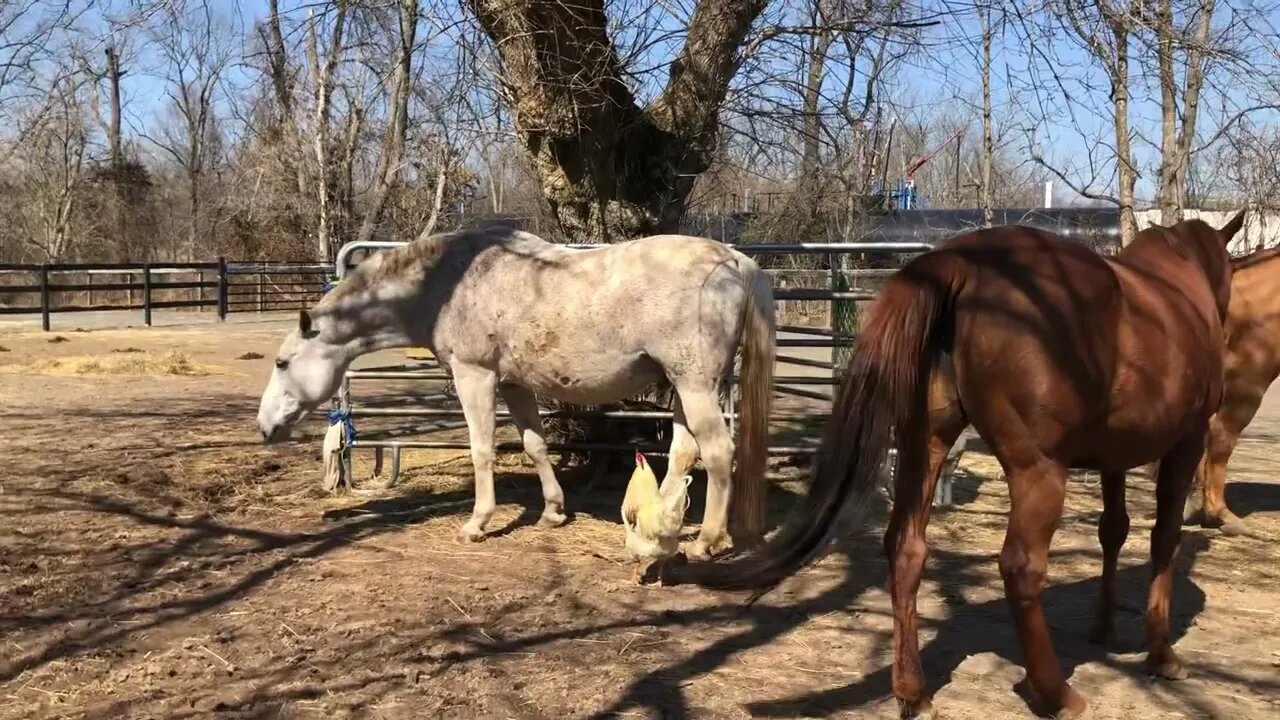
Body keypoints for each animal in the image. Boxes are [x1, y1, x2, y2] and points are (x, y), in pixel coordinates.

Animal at [254, 224, 773, 556]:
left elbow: (482, 449)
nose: (264, 427)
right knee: (685, 452)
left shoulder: (476, 376)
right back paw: (659, 524)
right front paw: (553, 512)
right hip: (685, 387)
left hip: (696, 385)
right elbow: (535, 445)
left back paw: (705, 542)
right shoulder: (516, 385)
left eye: (282, 363)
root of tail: (734, 261)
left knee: (719, 452)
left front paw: (477, 523)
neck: (448, 284)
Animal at [696, 210, 1244, 712]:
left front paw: (1104, 626)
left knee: (906, 548)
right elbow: (1163, 538)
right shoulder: (1185, 442)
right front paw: (1162, 653)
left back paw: (913, 692)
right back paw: (1057, 694)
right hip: (1038, 469)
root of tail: (958, 261)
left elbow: (1114, 529)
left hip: (925, 444)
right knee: (1021, 567)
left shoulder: (1115, 454)